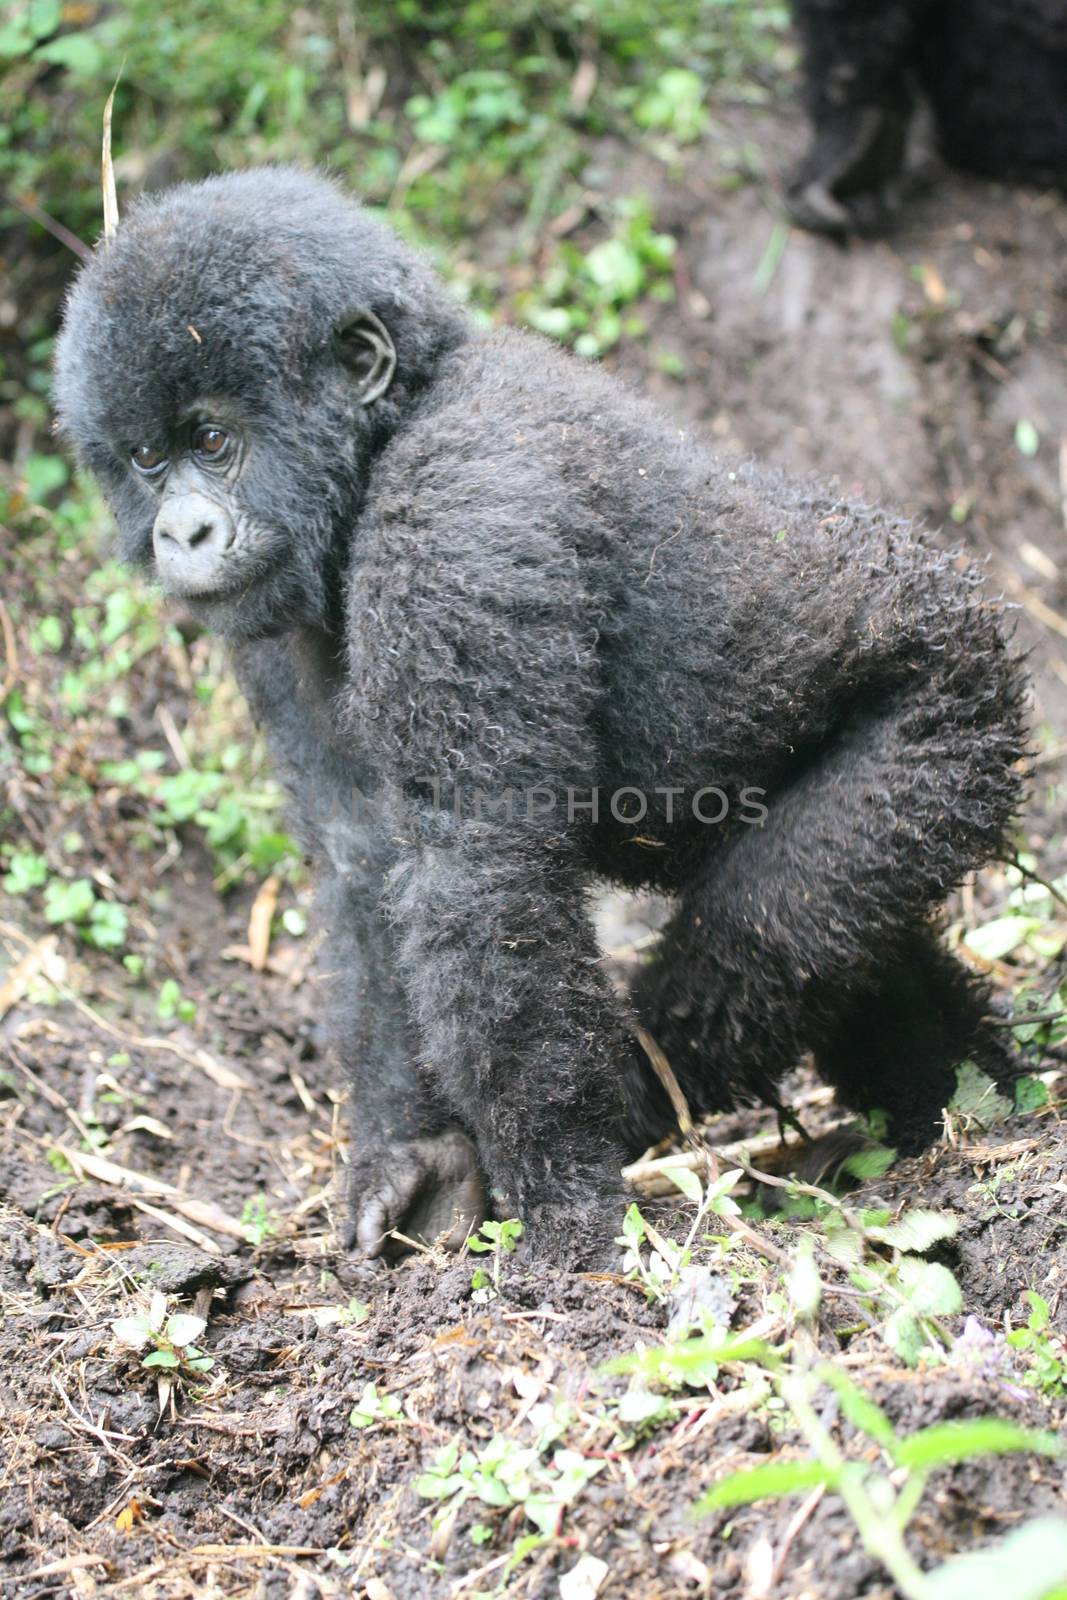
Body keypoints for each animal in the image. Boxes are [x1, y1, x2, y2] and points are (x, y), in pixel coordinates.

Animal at [56, 162, 1023, 1260]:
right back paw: (965, 1097)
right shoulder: (269, 618)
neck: (393, 426)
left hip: (948, 709)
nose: (179, 532)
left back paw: (648, 1102)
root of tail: (973, 597)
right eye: (145, 459)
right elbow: (366, 854)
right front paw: (414, 1154)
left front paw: (563, 1217)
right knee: (855, 945)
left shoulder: (461, 509)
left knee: (775, 924)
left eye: (213, 440)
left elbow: (479, 871)